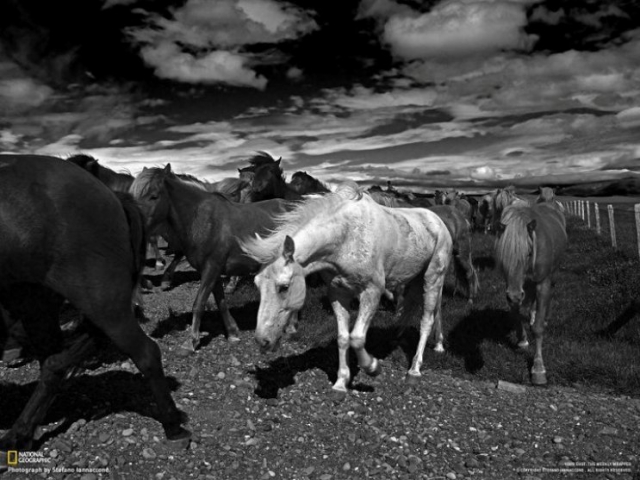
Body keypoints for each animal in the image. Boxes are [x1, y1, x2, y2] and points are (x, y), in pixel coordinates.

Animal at [0, 156, 190, 452]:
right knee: (53, 362)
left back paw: (173, 425)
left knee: (145, 352)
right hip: (45, 301)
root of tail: (112, 198)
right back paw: (21, 432)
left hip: (99, 298)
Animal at [241, 181, 456, 398]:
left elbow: (357, 338)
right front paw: (340, 384)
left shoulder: (372, 292)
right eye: (257, 284)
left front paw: (372, 367)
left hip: (433, 278)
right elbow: (344, 338)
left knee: (426, 321)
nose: (262, 341)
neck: (346, 238)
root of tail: (438, 221)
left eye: (284, 287)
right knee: (430, 310)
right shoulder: (338, 294)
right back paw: (430, 343)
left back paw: (414, 371)